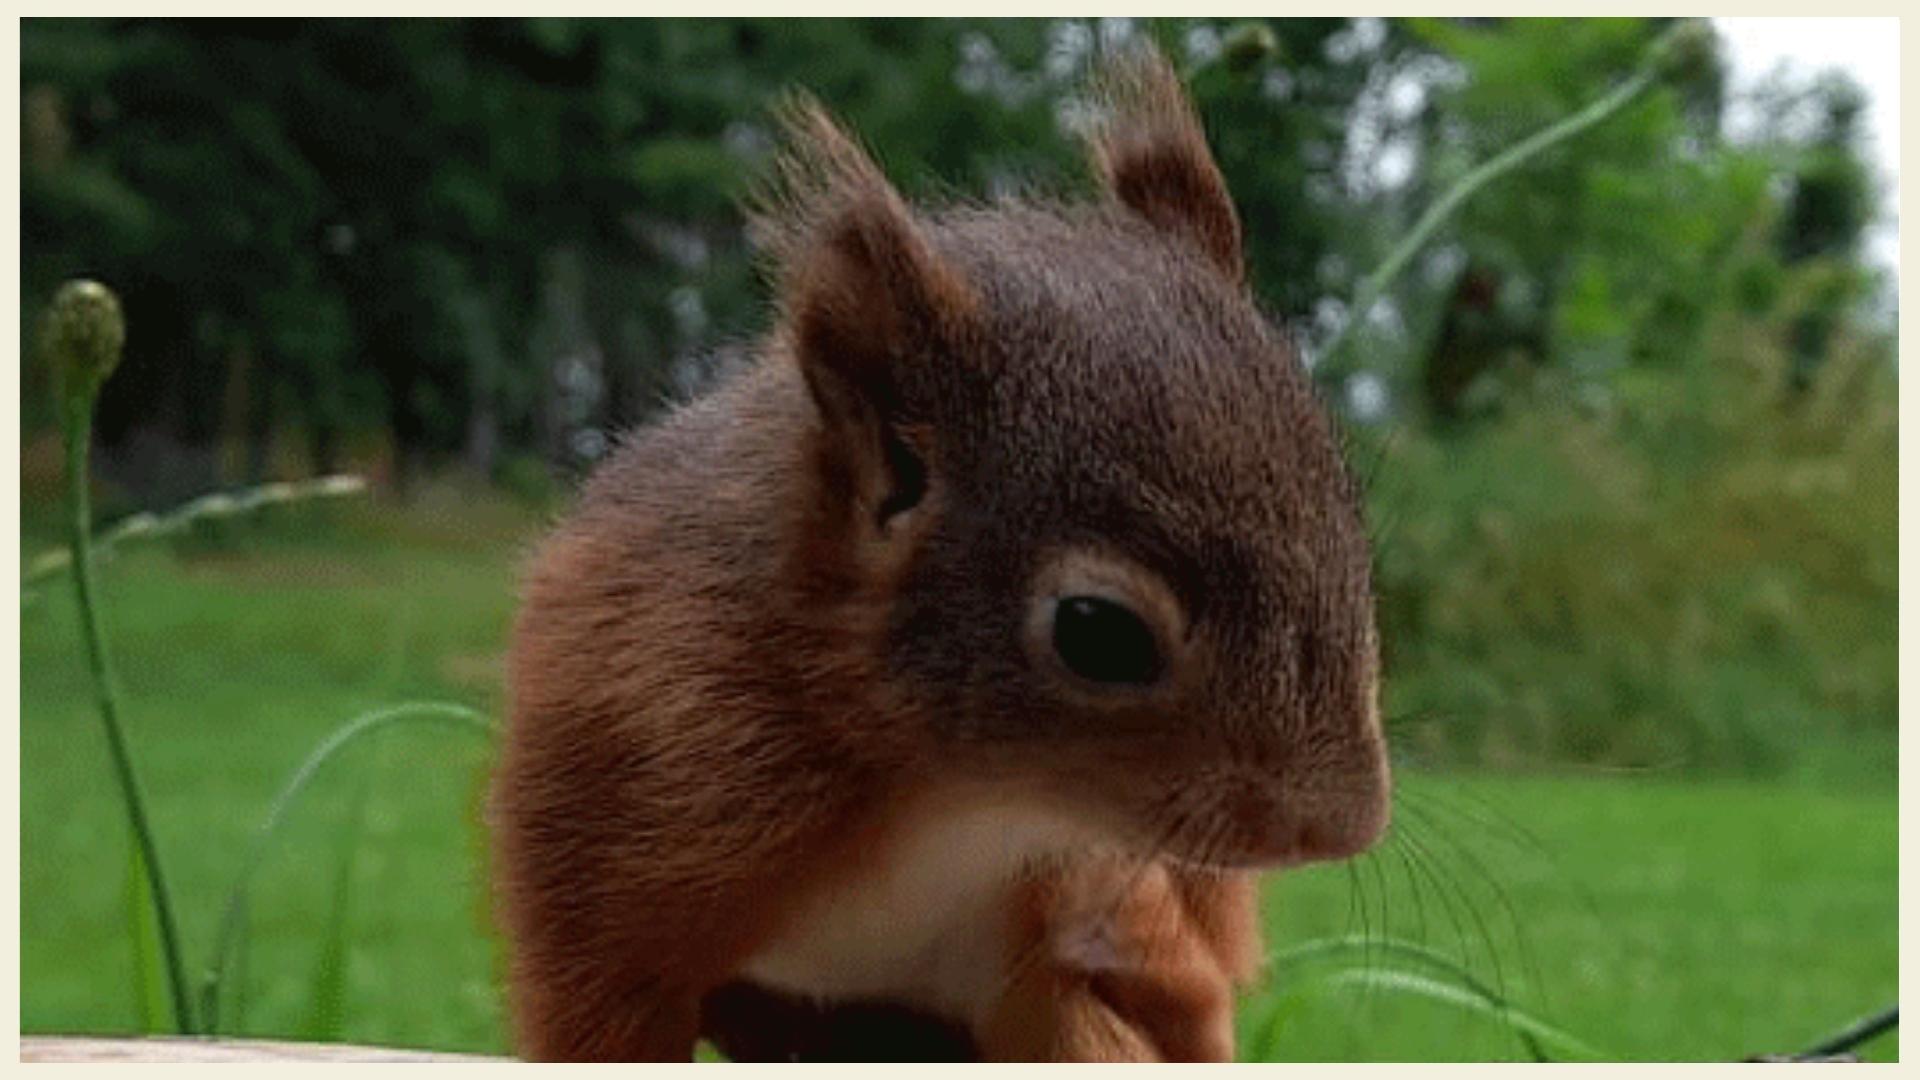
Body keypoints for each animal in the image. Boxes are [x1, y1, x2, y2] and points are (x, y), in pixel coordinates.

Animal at [489, 46, 1390, 1063]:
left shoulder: (1042, 913)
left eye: (1351, 526)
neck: (955, 798)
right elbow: (601, 1010)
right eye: (1098, 632)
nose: (1342, 825)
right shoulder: (622, 789)